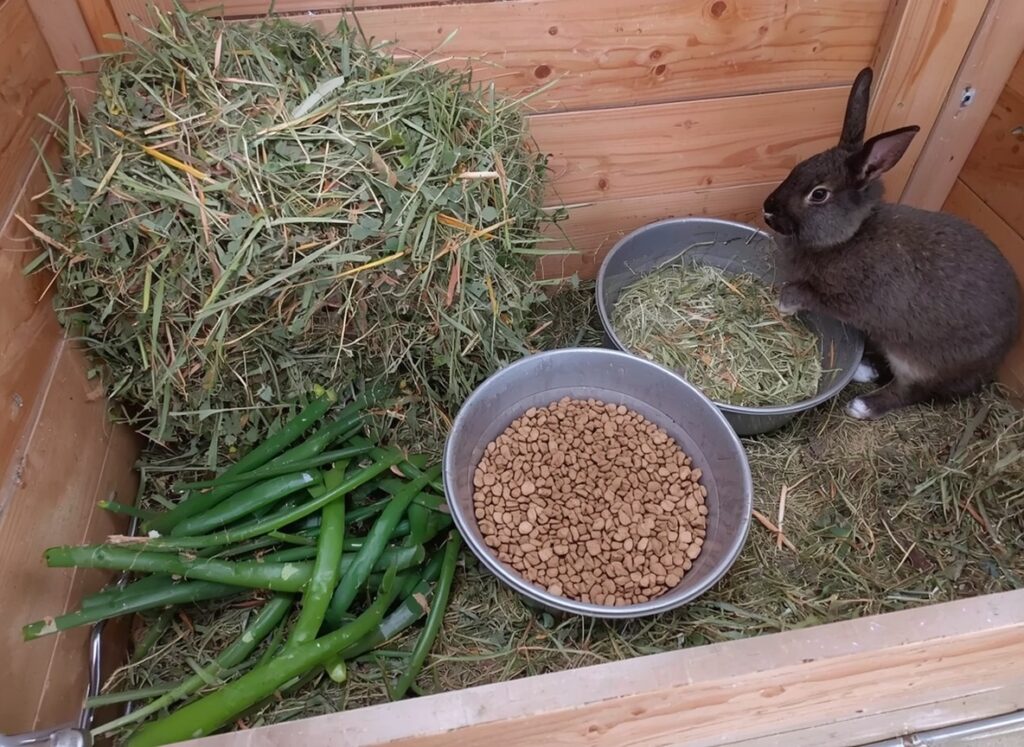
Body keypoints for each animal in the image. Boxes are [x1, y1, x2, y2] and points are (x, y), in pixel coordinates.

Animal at [762, 66, 1021, 420]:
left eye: (819, 194)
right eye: (797, 168)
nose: (767, 209)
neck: (852, 236)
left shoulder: (851, 299)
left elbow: (805, 292)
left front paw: (784, 305)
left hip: (920, 360)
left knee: (912, 391)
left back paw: (862, 405)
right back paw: (864, 370)